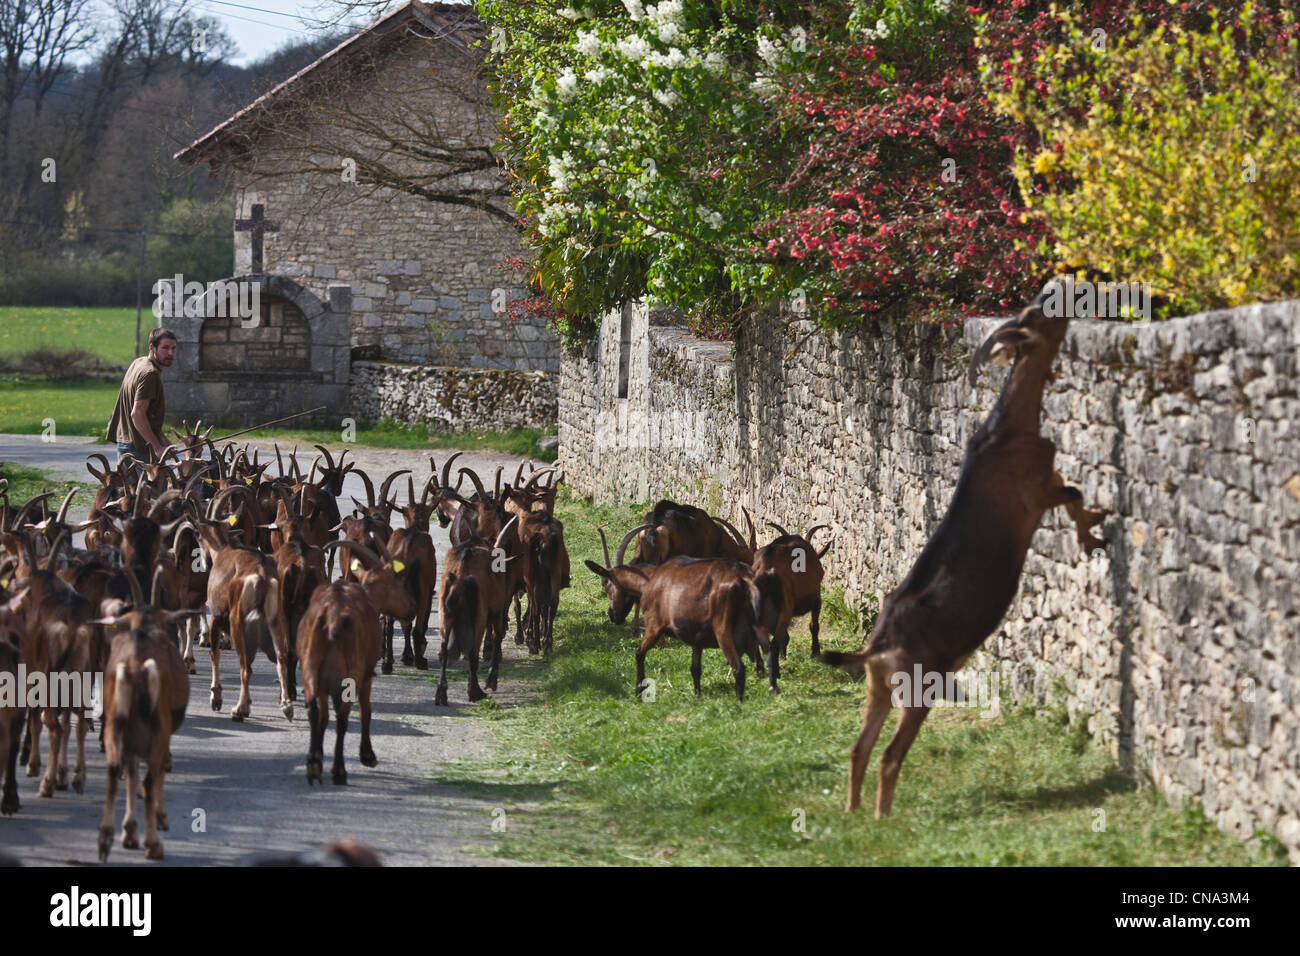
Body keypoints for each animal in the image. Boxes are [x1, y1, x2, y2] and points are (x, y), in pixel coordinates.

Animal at [821, 297, 1107, 816]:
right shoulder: (1038, 494)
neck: (1007, 428)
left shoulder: (1049, 482)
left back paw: (853, 813)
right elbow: (1075, 494)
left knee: (858, 748)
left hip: (878, 688)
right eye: (1038, 315)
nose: (1062, 301)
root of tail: (876, 647)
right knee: (890, 755)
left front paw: (1092, 532)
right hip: (918, 688)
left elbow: (1076, 495)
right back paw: (883, 819)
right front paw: (1094, 535)